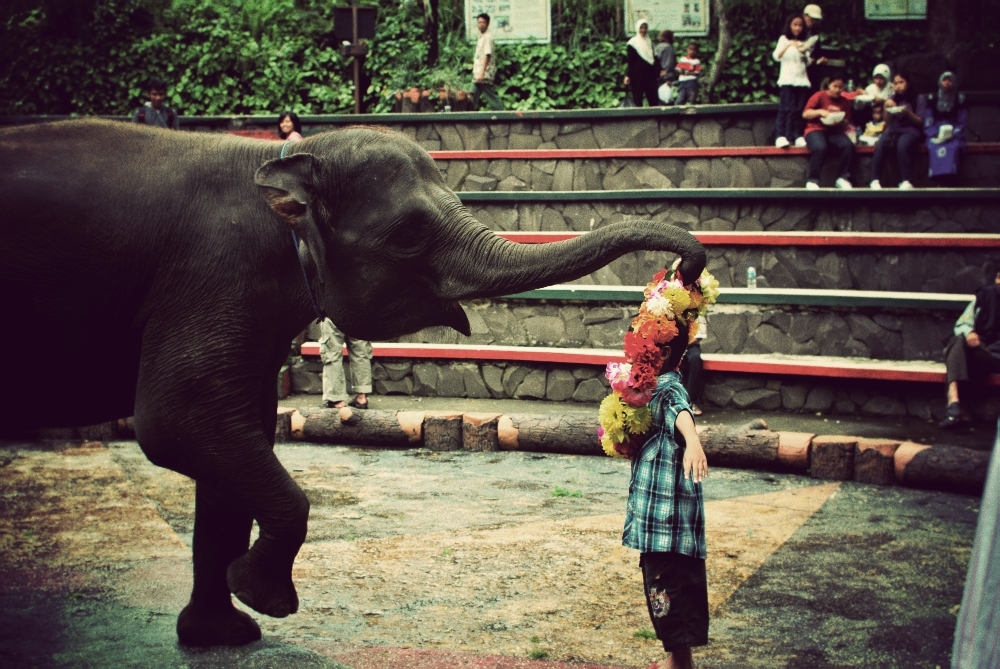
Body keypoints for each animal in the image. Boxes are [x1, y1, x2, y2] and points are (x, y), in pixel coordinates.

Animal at [0, 119, 705, 646]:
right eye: (410, 233)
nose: (688, 266)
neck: (280, 162)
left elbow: (235, 430)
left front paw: (225, 632)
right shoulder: (212, 275)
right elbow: (179, 421)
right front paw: (264, 599)